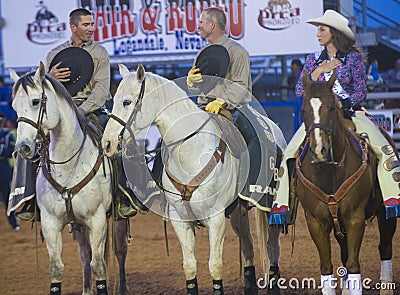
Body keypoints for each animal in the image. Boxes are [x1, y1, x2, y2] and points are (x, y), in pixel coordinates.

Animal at [10, 63, 130, 295]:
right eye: (13, 106)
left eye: (36, 101)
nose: (23, 147)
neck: (69, 166)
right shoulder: (51, 223)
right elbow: (57, 267)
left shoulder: (97, 219)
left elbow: (99, 265)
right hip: (79, 226)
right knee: (85, 255)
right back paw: (87, 289)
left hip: (117, 219)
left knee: (119, 252)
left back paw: (122, 288)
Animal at [101, 63, 282, 294]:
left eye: (126, 101)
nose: (107, 143)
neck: (191, 149)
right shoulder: (180, 220)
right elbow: (189, 266)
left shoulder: (216, 218)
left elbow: (215, 266)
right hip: (238, 212)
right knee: (248, 245)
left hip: (270, 208)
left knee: (271, 245)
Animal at [296, 72, 396, 295]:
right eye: (304, 110)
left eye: (332, 107)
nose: (319, 151)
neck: (329, 172)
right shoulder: (315, 221)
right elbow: (327, 267)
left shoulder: (354, 218)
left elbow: (353, 264)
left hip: (386, 213)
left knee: (385, 248)